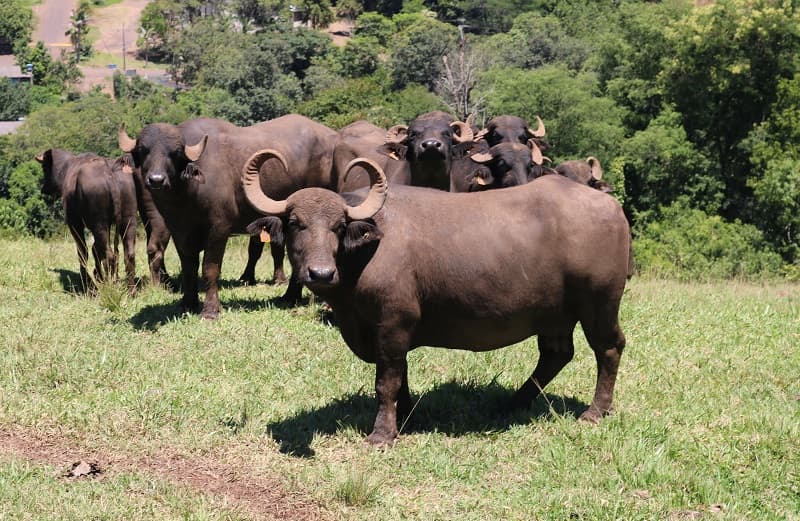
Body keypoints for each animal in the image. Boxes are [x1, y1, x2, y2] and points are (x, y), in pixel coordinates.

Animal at [37, 149, 137, 292]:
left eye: (44, 167)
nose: (43, 189)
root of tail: (110, 171)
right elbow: (95, 249)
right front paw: (97, 276)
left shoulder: (74, 223)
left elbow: (83, 252)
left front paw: (87, 282)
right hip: (129, 219)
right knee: (128, 254)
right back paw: (130, 290)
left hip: (99, 224)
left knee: (109, 255)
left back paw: (107, 286)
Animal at [119, 115, 338, 318]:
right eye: (143, 150)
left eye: (175, 153)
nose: (156, 180)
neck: (186, 197)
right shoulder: (180, 232)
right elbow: (189, 268)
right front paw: (188, 303)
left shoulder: (218, 229)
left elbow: (210, 268)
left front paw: (210, 310)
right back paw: (290, 296)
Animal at [243, 154, 631, 446]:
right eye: (295, 223)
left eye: (339, 226)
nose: (320, 273)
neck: (367, 251)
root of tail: (612, 207)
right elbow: (401, 376)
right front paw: (406, 416)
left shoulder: (392, 323)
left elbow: (386, 381)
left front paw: (382, 434)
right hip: (554, 313)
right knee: (556, 354)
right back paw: (513, 401)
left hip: (599, 304)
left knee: (609, 348)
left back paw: (595, 411)